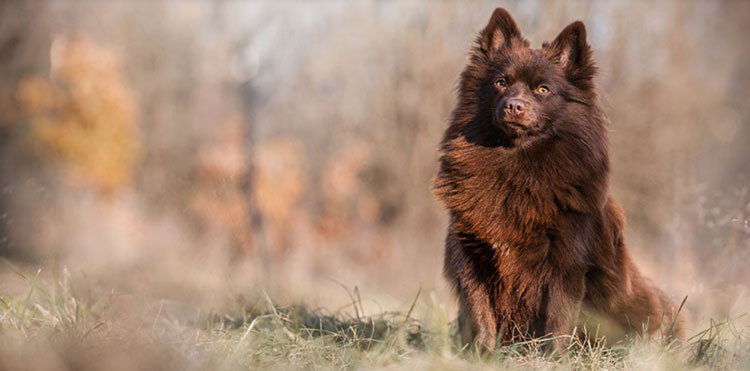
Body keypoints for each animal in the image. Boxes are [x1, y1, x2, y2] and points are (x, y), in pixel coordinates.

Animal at [434, 8, 688, 352]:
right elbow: (480, 313)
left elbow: (558, 318)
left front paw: (553, 357)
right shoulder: (472, 256)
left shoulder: (566, 262)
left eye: (542, 89)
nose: (514, 105)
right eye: (501, 83)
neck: (516, 163)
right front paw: (483, 354)